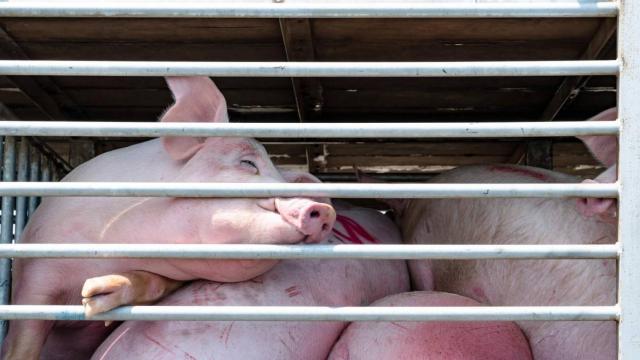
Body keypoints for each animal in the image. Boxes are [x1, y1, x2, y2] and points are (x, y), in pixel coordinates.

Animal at [1, 76, 340, 360]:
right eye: (247, 163)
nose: (325, 209)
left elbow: (152, 284)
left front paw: (95, 298)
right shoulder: (36, 269)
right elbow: (25, 334)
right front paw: (87, 299)